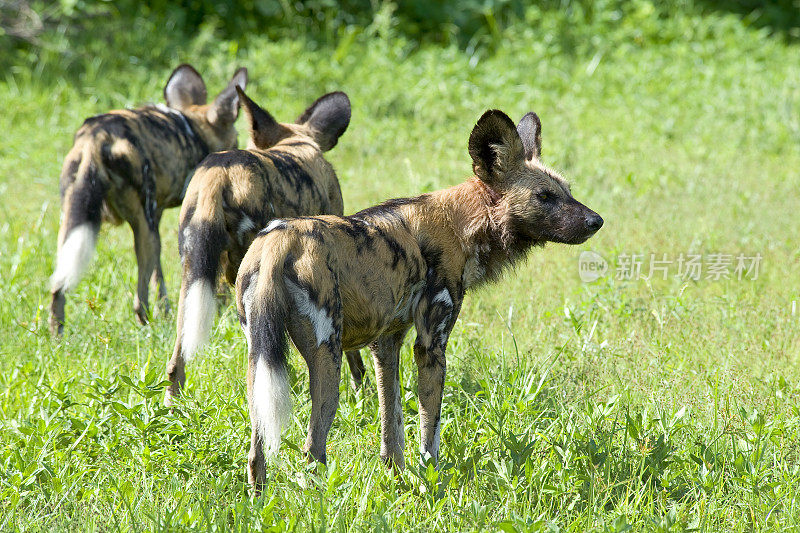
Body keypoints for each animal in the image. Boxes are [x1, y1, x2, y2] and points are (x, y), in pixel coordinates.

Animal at [50, 64, 247, 334]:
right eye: (236, 140)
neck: (197, 130)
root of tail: (98, 137)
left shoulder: (157, 215)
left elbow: (159, 274)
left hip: (73, 219)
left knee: (58, 284)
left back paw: (56, 334)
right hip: (143, 224)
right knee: (139, 295)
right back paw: (146, 324)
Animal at [166, 86, 366, 404]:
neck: (296, 141)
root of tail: (220, 173)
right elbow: (353, 352)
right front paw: (362, 391)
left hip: (195, 276)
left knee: (178, 358)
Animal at [234, 108, 604, 490]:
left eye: (567, 191)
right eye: (544, 196)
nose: (597, 220)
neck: (462, 224)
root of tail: (277, 240)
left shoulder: (386, 343)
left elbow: (392, 424)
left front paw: (395, 480)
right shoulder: (430, 344)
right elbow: (430, 431)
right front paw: (431, 483)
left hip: (259, 360)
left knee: (257, 450)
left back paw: (259, 498)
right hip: (327, 356)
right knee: (312, 448)